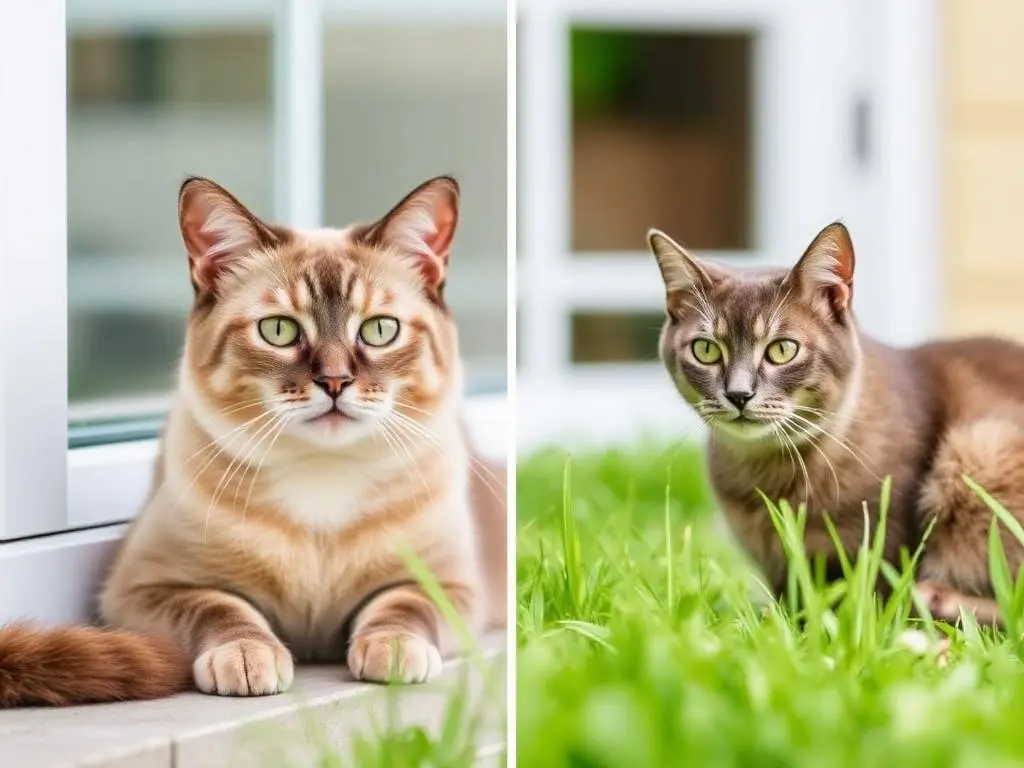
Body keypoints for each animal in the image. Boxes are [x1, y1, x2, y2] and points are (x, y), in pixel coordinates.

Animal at [0, 176, 505, 708]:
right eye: (279, 330)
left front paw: (393, 650)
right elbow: (220, 607)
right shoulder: (142, 589)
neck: (320, 477)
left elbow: (404, 604)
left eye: (379, 330)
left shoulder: (452, 587)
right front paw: (246, 656)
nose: (335, 381)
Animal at [651, 221, 1024, 626]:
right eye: (706, 350)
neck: (772, 469)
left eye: (782, 349)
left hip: (980, 444)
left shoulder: (886, 542)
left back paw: (941, 600)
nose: (738, 394)